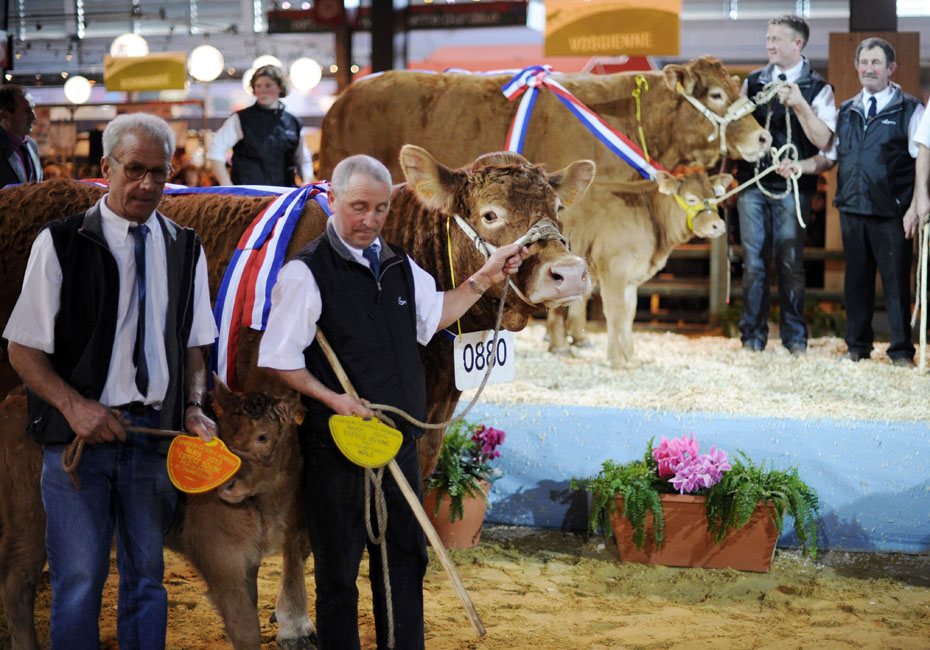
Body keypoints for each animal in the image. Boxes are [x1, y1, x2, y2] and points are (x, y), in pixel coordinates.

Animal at [546, 171, 733, 367]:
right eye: (691, 198)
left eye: (715, 197)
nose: (718, 225)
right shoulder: (614, 269)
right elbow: (615, 311)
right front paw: (616, 360)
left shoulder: (631, 278)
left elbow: (629, 313)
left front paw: (631, 356)